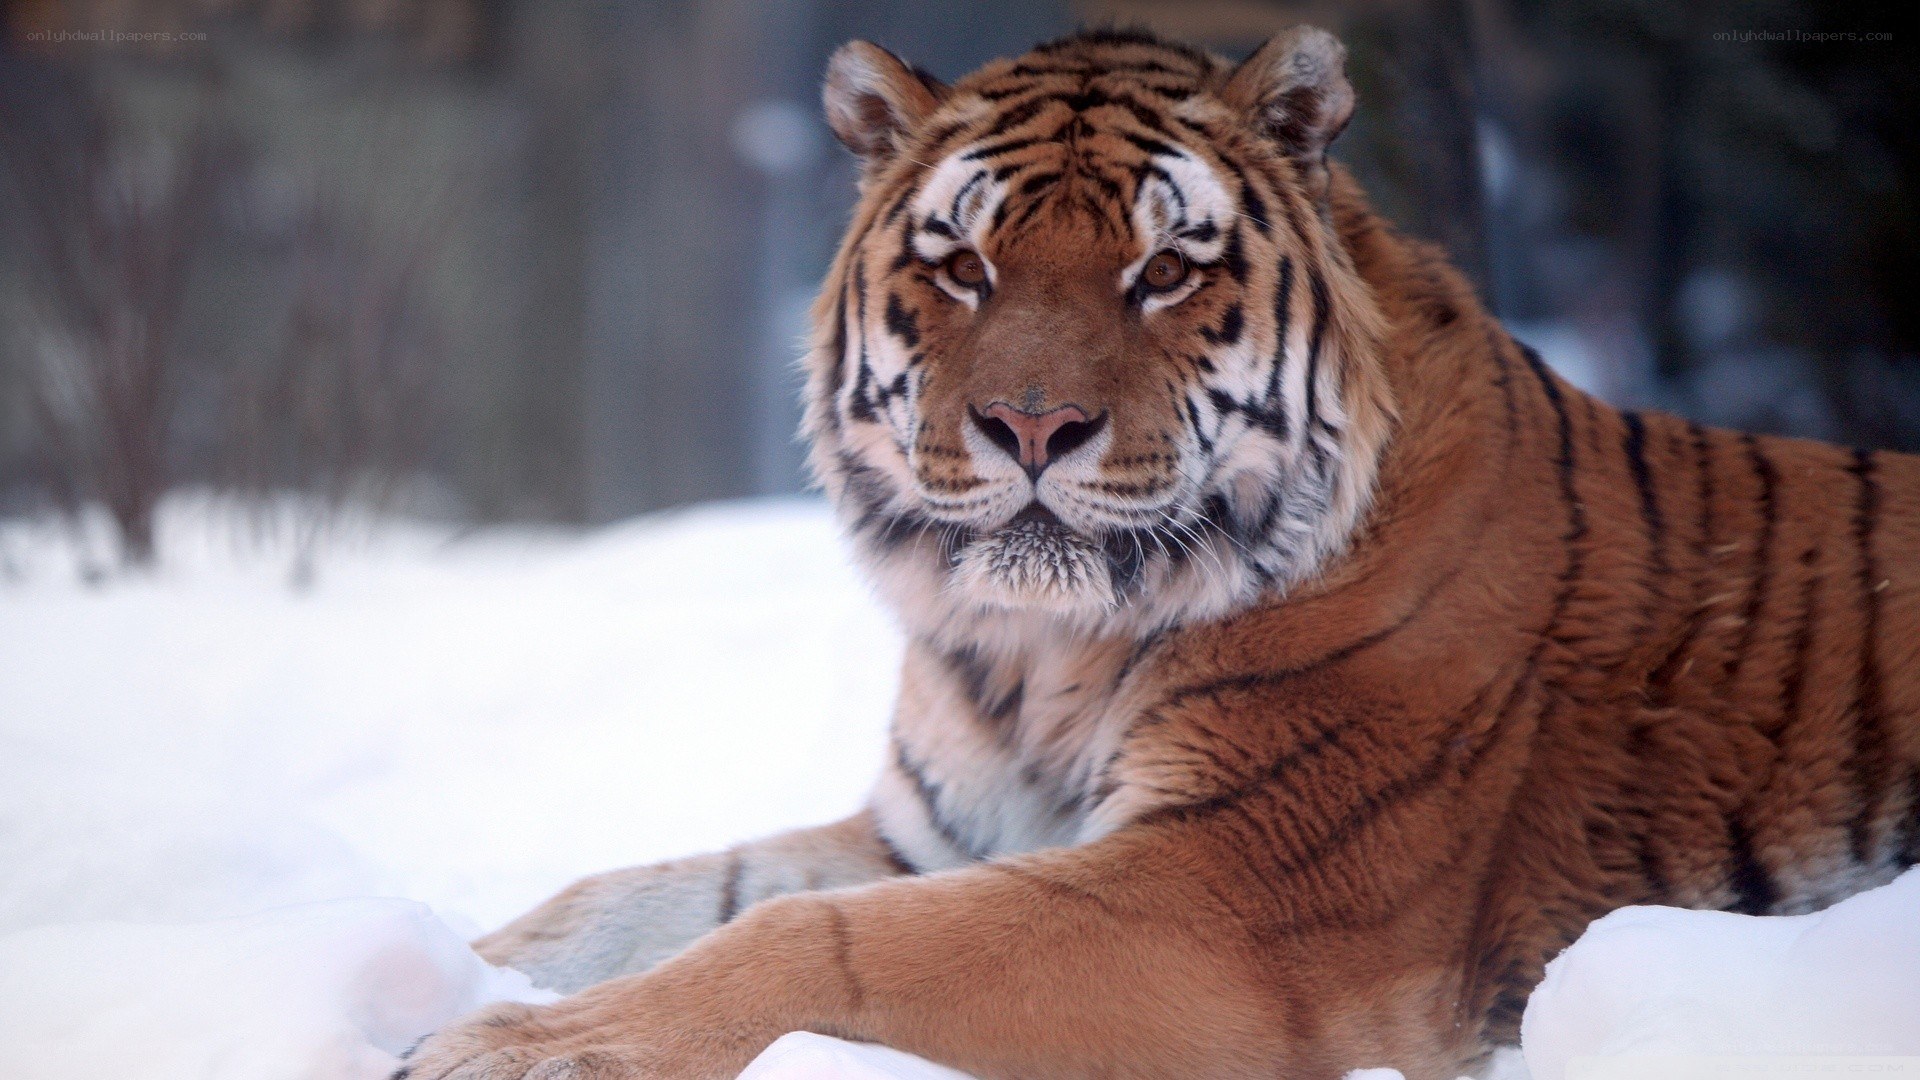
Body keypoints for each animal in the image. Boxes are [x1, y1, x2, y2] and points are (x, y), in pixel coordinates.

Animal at [400, 26, 1920, 1080]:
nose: (1033, 425)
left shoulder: (1228, 894)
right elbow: (623, 901)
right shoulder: (932, 831)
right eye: (964, 267)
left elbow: (813, 940)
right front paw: (446, 981)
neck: (1039, 656)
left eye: (1167, 271)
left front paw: (514, 1050)